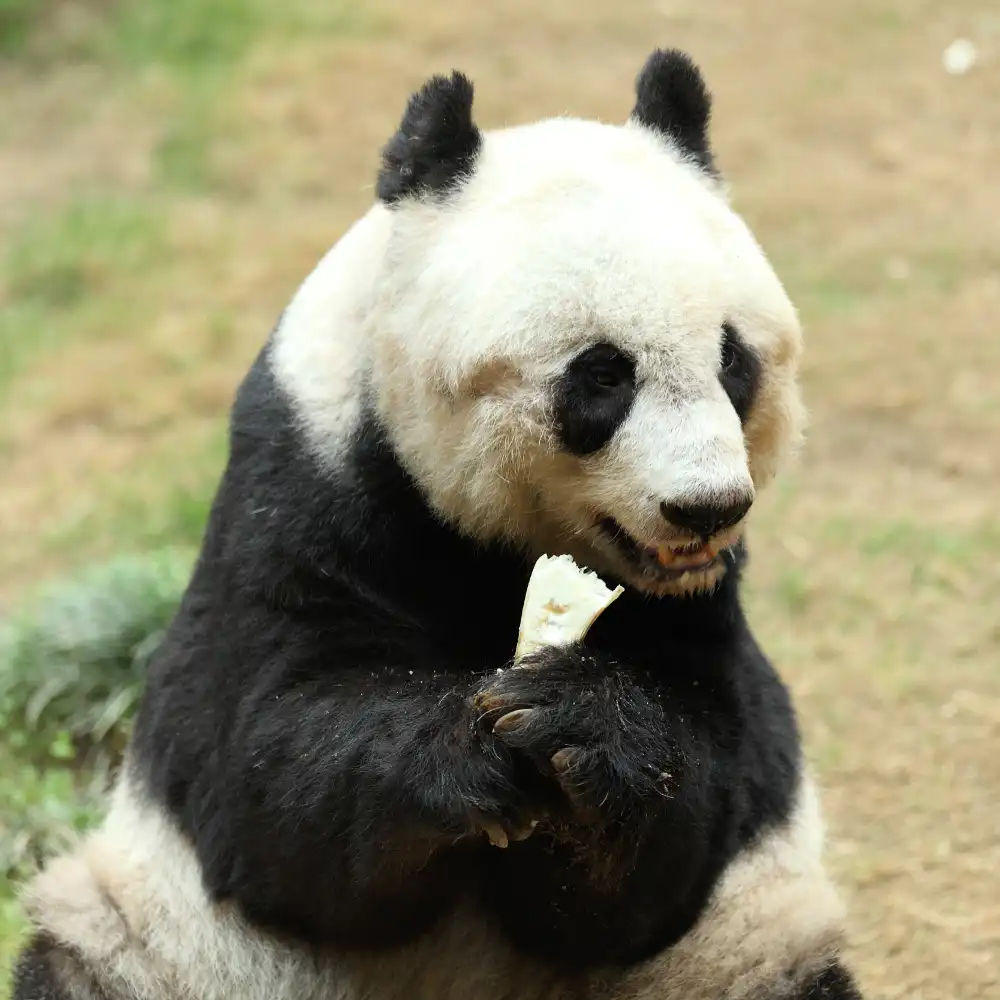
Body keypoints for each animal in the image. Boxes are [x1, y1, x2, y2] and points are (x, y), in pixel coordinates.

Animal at [12, 49, 865, 1000]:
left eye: (733, 358)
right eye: (602, 375)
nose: (707, 506)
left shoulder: (702, 606)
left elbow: (693, 799)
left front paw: (576, 725)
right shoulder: (298, 484)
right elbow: (263, 762)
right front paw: (465, 746)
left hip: (742, 954)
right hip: (157, 946)